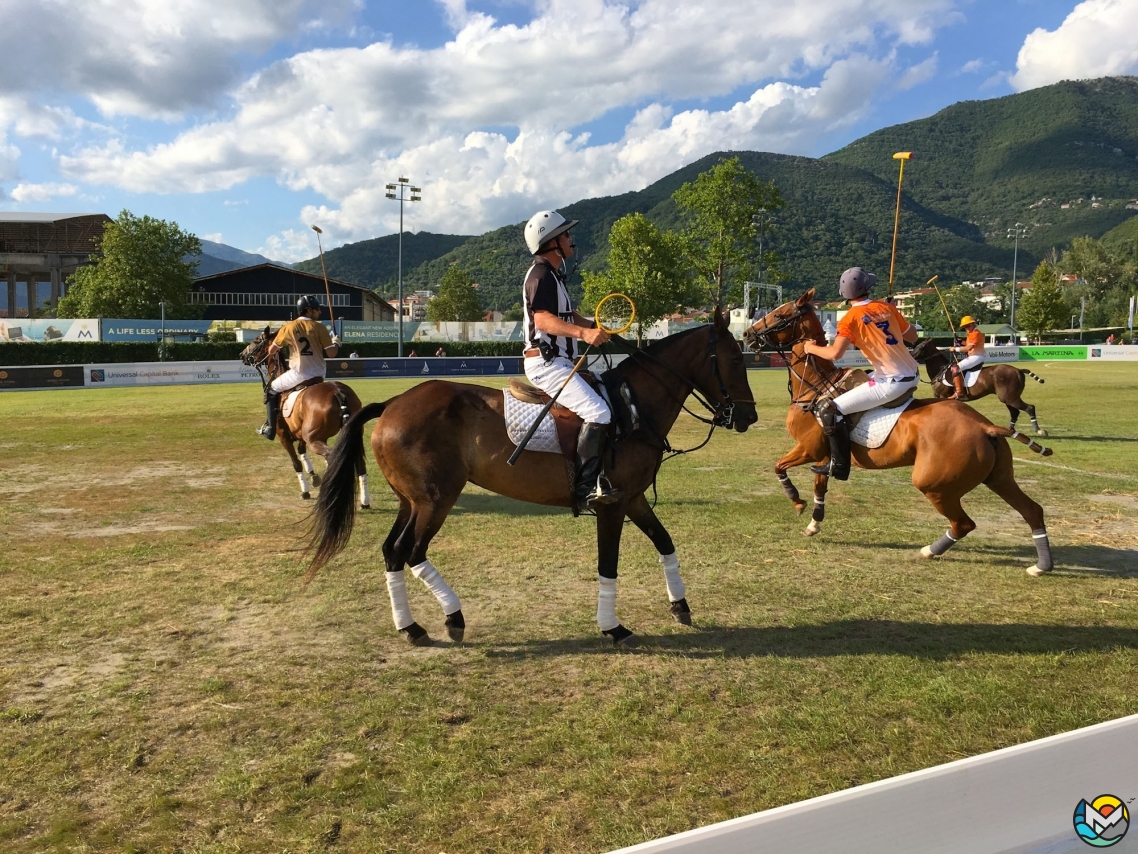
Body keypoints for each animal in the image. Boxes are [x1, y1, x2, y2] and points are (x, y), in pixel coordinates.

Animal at [238, 330, 370, 507]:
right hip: (350, 433)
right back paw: (364, 501)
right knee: (358, 462)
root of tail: (338, 392)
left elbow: (296, 463)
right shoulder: (302, 434)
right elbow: (303, 452)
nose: (242, 355)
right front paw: (314, 477)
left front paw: (306, 491)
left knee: (332, 457)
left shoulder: (283, 436)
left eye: (257, 340)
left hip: (313, 438)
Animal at [307, 311, 760, 646]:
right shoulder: (611, 505)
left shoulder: (633, 498)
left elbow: (665, 542)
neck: (633, 406)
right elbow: (608, 565)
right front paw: (612, 627)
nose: (748, 416)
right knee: (411, 550)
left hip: (412, 500)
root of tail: (391, 403)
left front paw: (680, 606)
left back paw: (410, 626)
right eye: (737, 359)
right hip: (437, 499)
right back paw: (453, 618)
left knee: (391, 551)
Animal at [905, 339, 1046, 437]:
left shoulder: (944, 397)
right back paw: (1010, 430)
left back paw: (1039, 430)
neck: (940, 370)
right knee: (1015, 412)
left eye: (921, 347)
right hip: (1007, 398)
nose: (910, 355)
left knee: (1029, 407)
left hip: (1010, 397)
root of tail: (1018, 370)